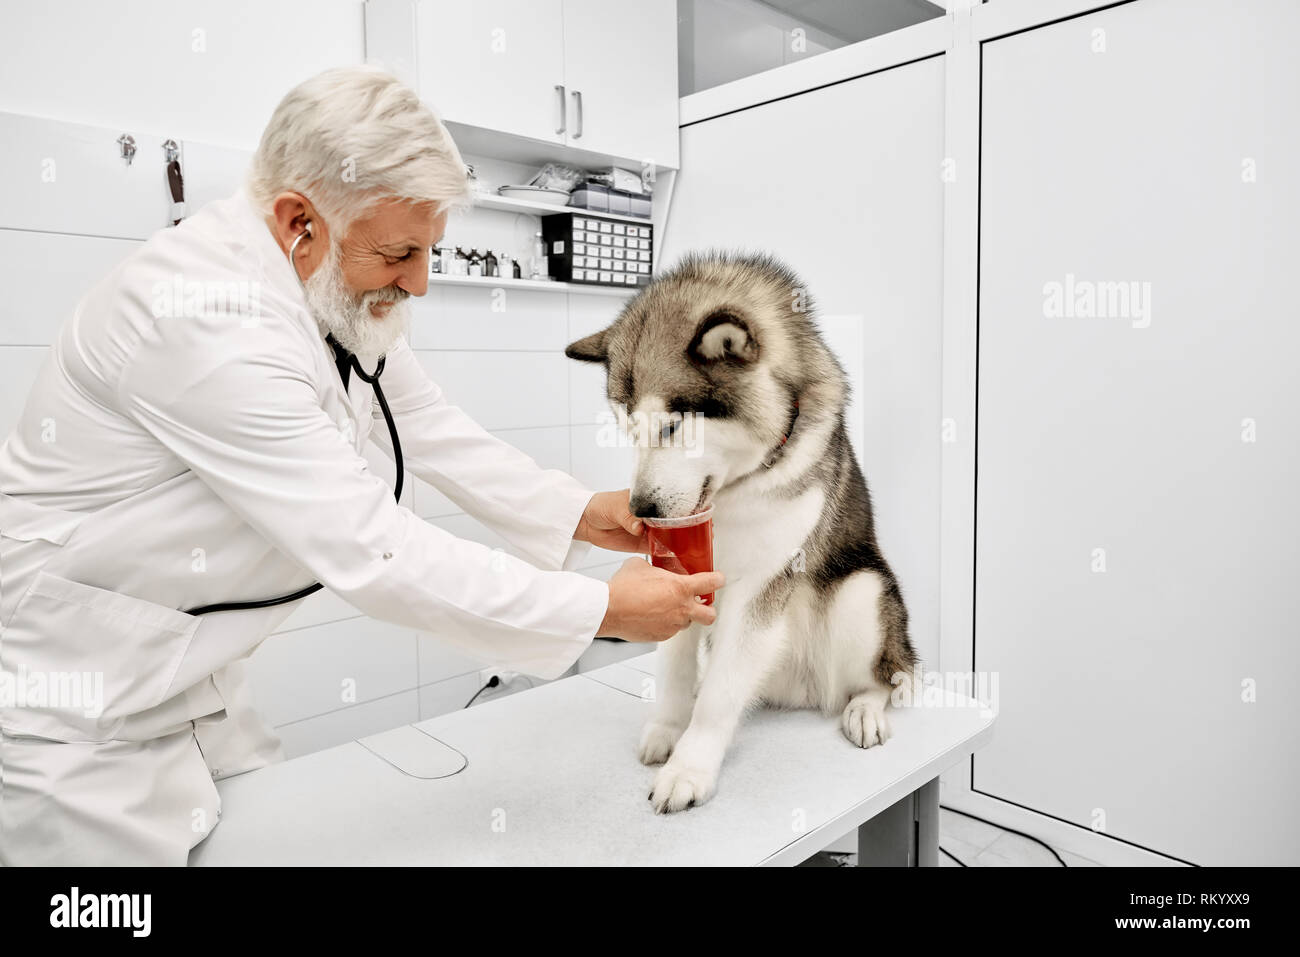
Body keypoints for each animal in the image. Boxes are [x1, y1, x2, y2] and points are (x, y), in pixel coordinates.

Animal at [564, 250, 920, 811]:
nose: (642, 510)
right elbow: (674, 669)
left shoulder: (763, 583)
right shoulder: (681, 584)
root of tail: (801, 693)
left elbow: (718, 700)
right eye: (628, 429)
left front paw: (689, 768)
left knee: (885, 676)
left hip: (862, 591)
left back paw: (865, 708)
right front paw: (668, 729)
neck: (736, 491)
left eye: (672, 426)